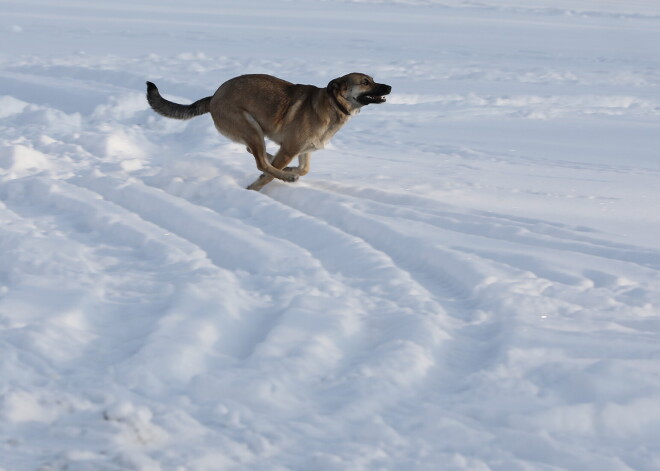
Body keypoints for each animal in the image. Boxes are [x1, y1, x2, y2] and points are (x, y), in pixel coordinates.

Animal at [146, 73, 390, 191]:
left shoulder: (303, 150)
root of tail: (214, 96)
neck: (333, 104)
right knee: (261, 162)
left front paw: (289, 170)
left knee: (258, 155)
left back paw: (281, 167)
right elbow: (269, 174)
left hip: (255, 133)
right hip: (251, 127)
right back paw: (283, 175)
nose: (389, 87)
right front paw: (255, 187)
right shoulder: (291, 148)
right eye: (365, 82)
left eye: (372, 79)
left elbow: (305, 169)